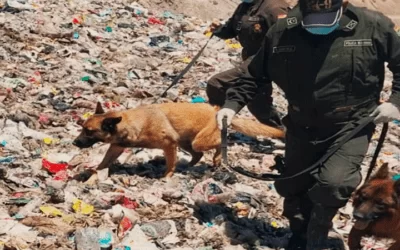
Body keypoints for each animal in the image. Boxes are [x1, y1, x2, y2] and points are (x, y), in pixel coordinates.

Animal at [72, 101, 284, 178]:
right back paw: (189, 166)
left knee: (219, 144)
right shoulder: (116, 146)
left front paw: (166, 177)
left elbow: (170, 164)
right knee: (198, 155)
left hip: (197, 141)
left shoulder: (169, 145)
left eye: (89, 131)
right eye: (82, 128)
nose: (74, 143)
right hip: (186, 142)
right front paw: (95, 173)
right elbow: (104, 162)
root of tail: (216, 110)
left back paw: (217, 158)